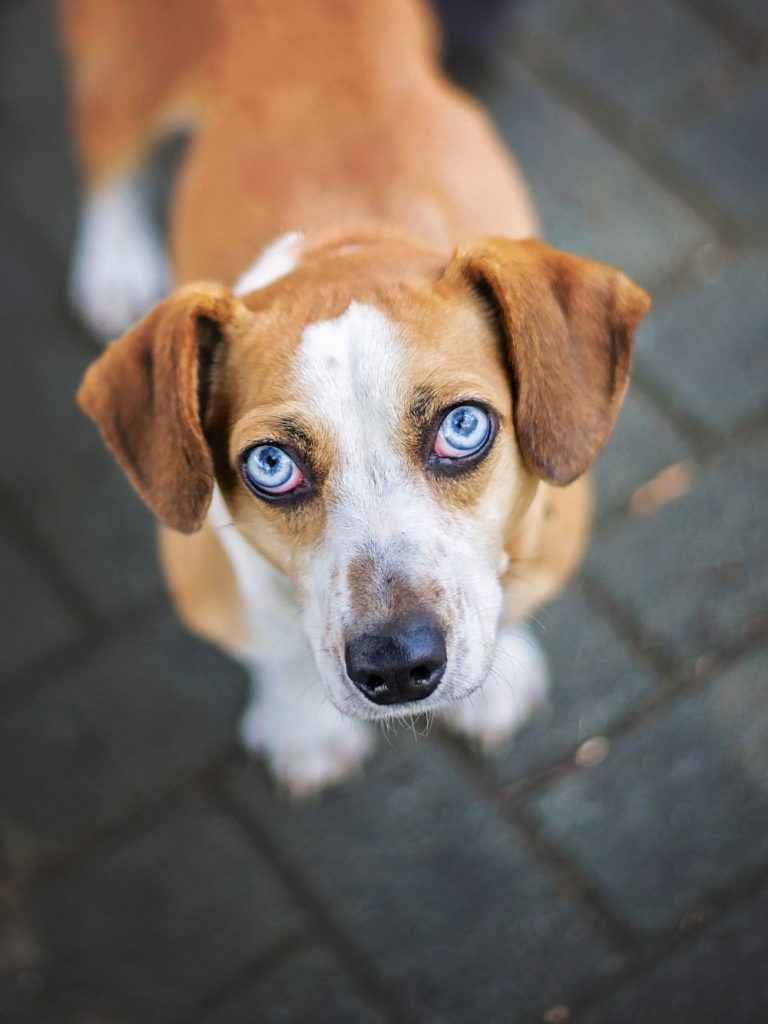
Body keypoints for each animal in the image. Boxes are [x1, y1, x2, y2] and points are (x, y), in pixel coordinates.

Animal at [60, 0, 651, 790]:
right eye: (271, 465)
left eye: (463, 428)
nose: (397, 668)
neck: (345, 241)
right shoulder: (208, 581)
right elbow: (273, 646)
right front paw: (301, 727)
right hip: (129, 66)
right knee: (104, 141)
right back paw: (115, 262)